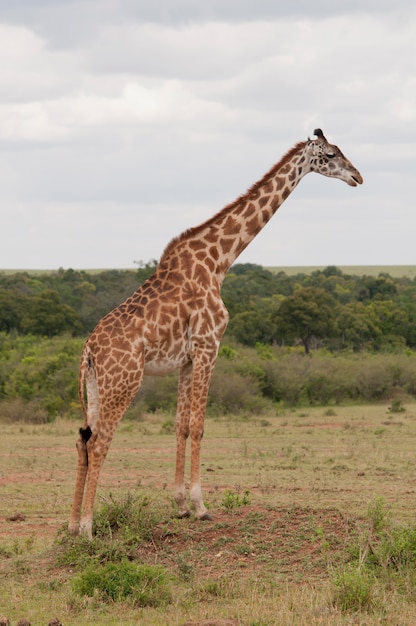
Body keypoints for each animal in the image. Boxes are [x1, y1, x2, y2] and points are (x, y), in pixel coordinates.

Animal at [67, 128, 360, 536]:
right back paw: (89, 529)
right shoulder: (210, 345)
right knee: (98, 443)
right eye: (331, 154)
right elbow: (200, 426)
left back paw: (70, 526)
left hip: (96, 386)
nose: (357, 176)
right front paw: (201, 506)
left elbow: (180, 426)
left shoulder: (187, 358)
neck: (219, 261)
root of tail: (88, 351)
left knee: (82, 440)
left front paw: (179, 506)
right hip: (124, 382)